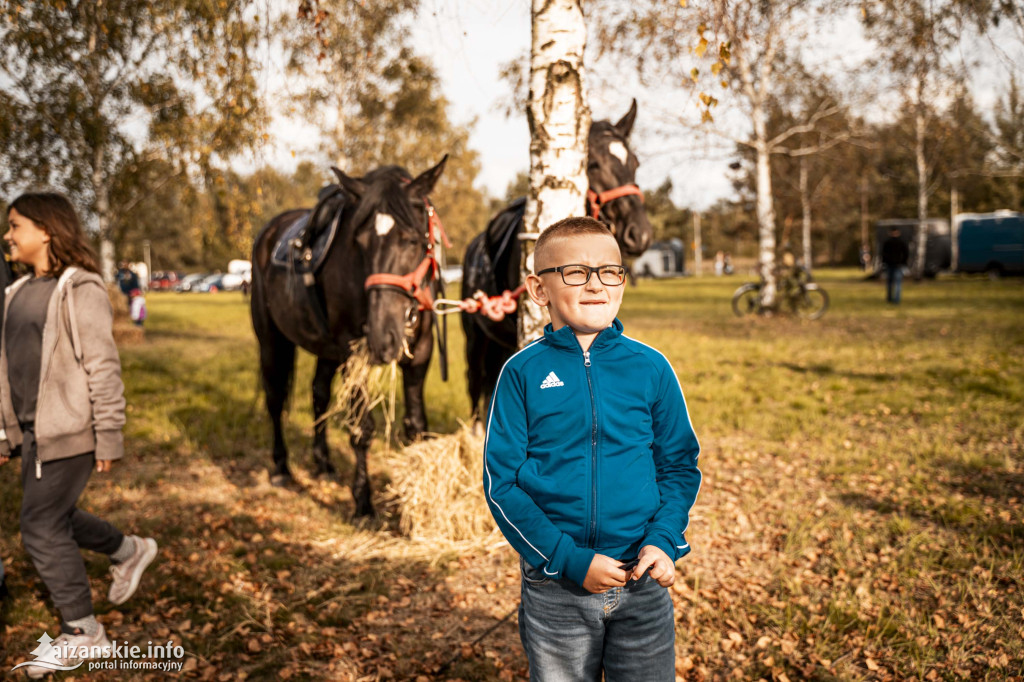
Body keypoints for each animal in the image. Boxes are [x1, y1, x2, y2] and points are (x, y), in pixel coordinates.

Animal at [249, 156, 446, 512]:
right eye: (360, 242)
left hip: (326, 350)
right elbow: (361, 431)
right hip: (272, 340)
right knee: (274, 398)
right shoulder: (354, 357)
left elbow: (416, 426)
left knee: (318, 394)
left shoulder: (420, 355)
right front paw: (363, 501)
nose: (383, 338)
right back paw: (281, 467)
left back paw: (323, 462)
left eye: (412, 240)